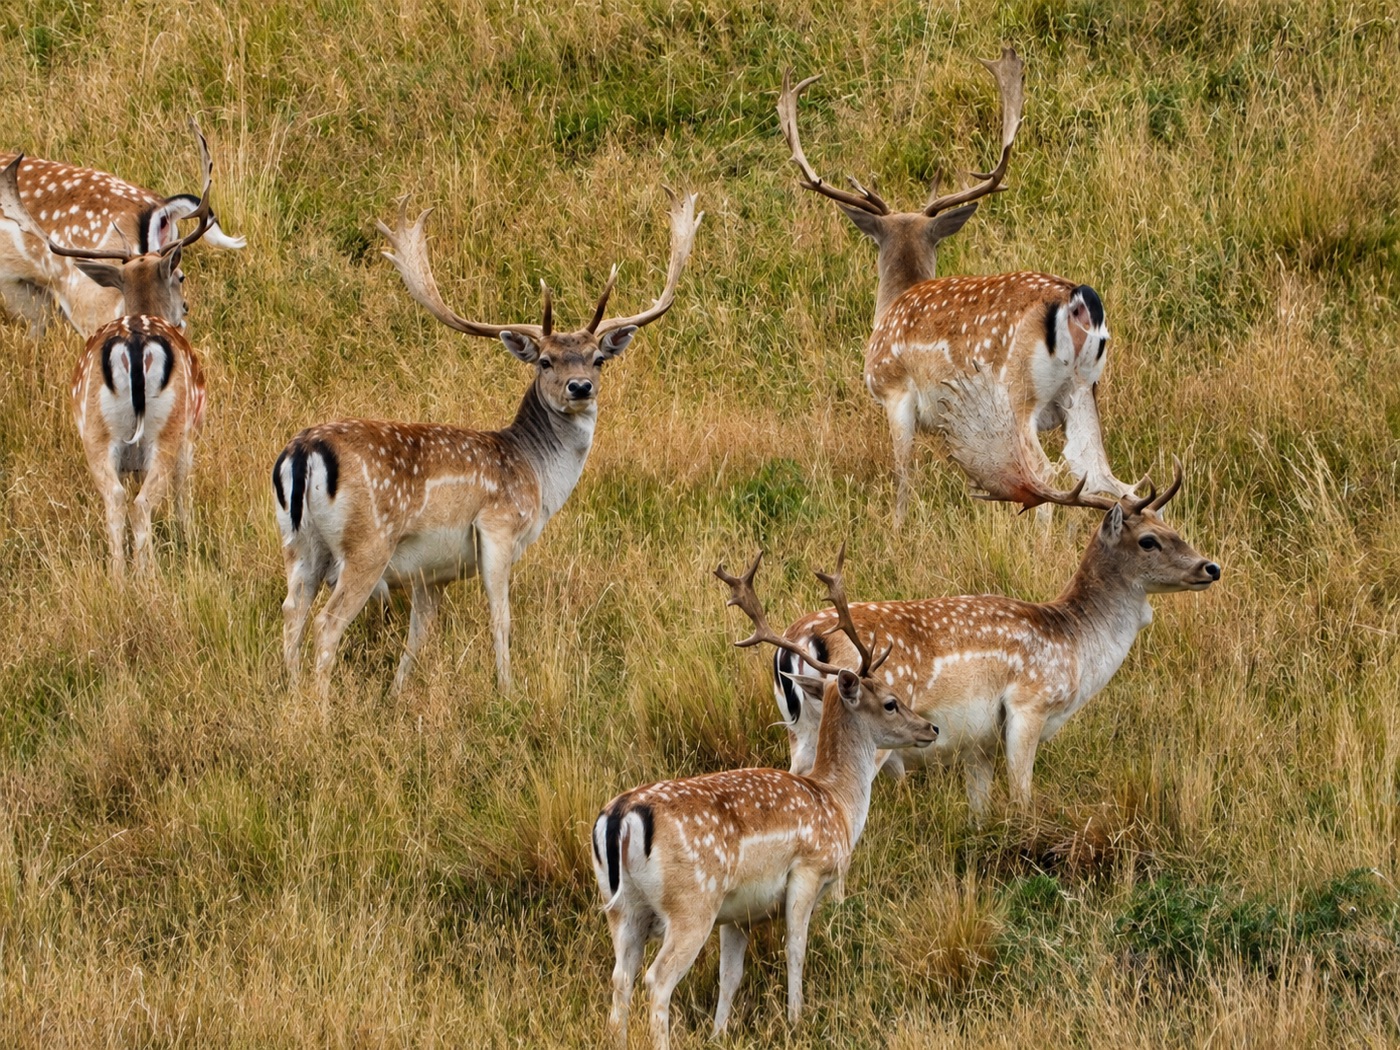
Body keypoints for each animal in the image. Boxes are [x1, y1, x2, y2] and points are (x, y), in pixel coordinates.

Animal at [273, 191, 701, 697]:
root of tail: (302, 451)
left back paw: (289, 695)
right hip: (367, 545)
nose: (580, 387)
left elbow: (419, 635)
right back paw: (319, 705)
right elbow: (501, 617)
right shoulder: (498, 527)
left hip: (298, 544)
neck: (537, 479)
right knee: (327, 622)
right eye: (545, 361)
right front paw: (508, 690)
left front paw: (397, 695)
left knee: (292, 613)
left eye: (598, 358)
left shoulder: (431, 572)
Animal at [591, 550, 936, 1050]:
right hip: (691, 904)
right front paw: (796, 1020)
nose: (931, 727)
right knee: (657, 979)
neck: (837, 803)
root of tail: (619, 817)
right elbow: (796, 948)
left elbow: (730, 975)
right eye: (891, 701)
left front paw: (720, 1032)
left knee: (621, 976)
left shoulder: (738, 914)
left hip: (621, 907)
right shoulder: (807, 871)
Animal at [768, 372, 1219, 818]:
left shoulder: (979, 741)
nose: (1210, 567)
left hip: (799, 731)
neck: (1074, 646)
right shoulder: (1028, 704)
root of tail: (799, 642)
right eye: (1148, 541)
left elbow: (979, 809)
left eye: (1173, 527)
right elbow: (1021, 795)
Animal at [779, 48, 1135, 522]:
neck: (892, 304)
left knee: (1048, 475)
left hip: (1017, 395)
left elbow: (903, 474)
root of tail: (1074, 300)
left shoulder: (895, 392)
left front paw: (898, 526)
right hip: (1083, 391)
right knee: (1113, 482)